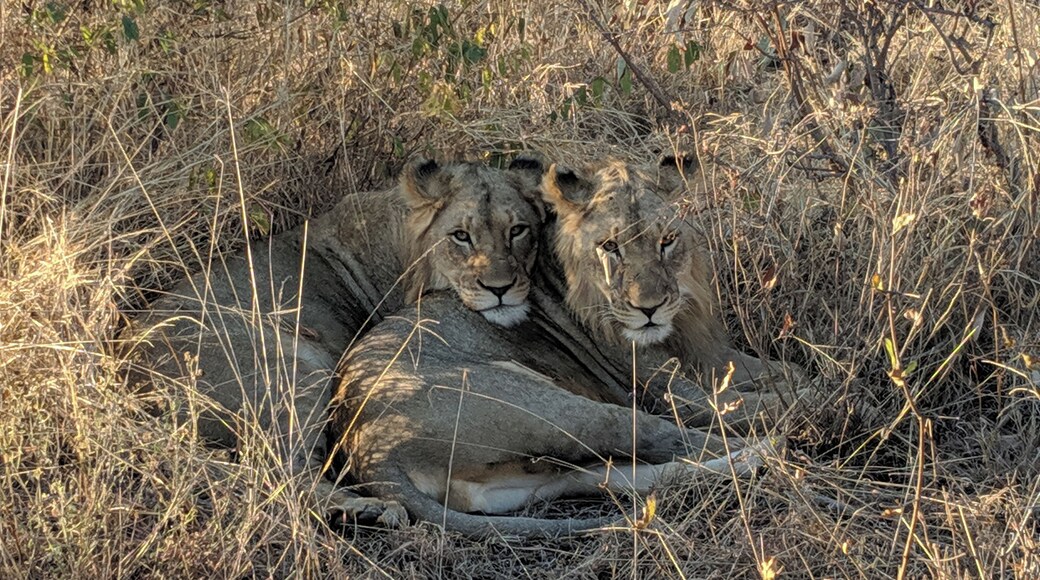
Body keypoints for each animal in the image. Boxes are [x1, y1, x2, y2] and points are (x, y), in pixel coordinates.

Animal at [128, 157, 545, 522]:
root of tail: (129, 384)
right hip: (296, 369)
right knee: (283, 471)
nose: (500, 288)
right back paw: (364, 509)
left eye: (518, 230)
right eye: (461, 236)